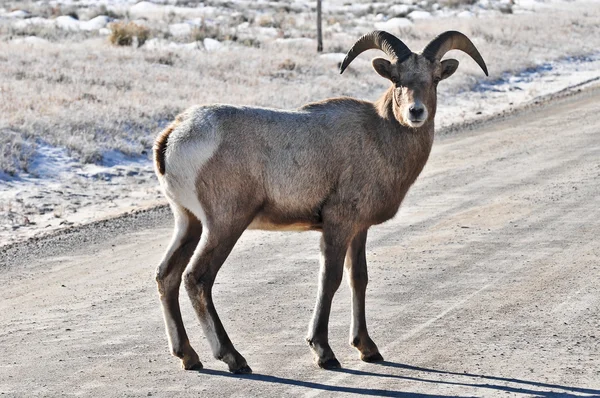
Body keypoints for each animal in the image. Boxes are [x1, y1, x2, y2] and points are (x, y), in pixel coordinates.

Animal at [152, 28, 486, 374]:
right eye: (397, 80)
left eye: (434, 79)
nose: (415, 112)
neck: (380, 137)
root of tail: (173, 137)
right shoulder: (338, 225)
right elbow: (330, 279)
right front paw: (324, 352)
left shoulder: (358, 229)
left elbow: (358, 278)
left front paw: (367, 349)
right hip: (224, 225)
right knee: (197, 279)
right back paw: (233, 358)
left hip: (188, 222)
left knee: (167, 275)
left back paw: (188, 356)